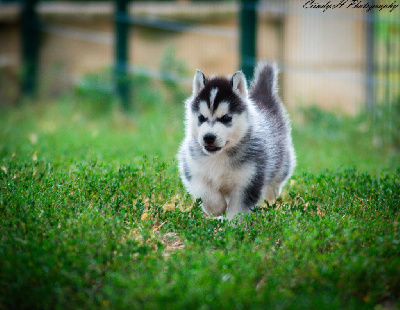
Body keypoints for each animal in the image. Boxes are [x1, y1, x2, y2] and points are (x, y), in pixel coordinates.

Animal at [177, 61, 296, 220]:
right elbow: (206, 193)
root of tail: (262, 97)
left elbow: (238, 209)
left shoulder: (249, 180)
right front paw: (217, 209)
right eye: (201, 117)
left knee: (276, 181)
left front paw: (231, 224)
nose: (208, 137)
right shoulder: (193, 168)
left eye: (226, 118)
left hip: (282, 162)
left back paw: (270, 197)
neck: (219, 156)